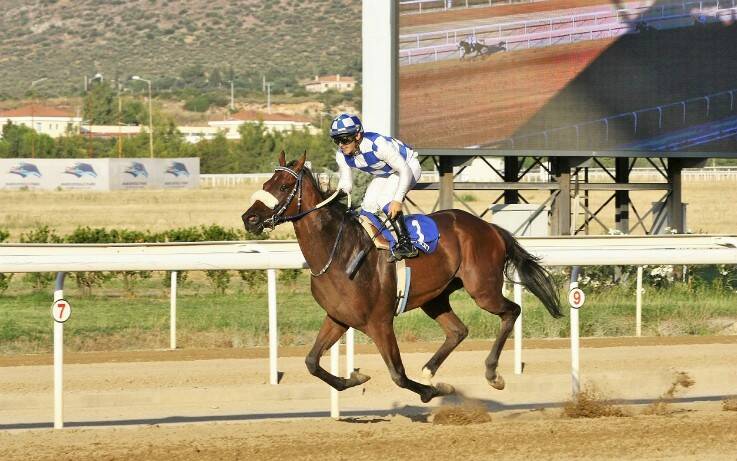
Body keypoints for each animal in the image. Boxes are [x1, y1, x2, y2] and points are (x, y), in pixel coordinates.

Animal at [239, 152, 560, 402]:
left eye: (284, 185)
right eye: (266, 184)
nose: (249, 218)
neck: (338, 251)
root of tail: (491, 228)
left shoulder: (379, 322)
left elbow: (398, 375)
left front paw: (433, 392)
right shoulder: (338, 317)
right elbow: (311, 362)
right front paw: (354, 379)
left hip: (482, 289)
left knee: (511, 311)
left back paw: (492, 373)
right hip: (435, 297)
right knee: (458, 331)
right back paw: (430, 371)